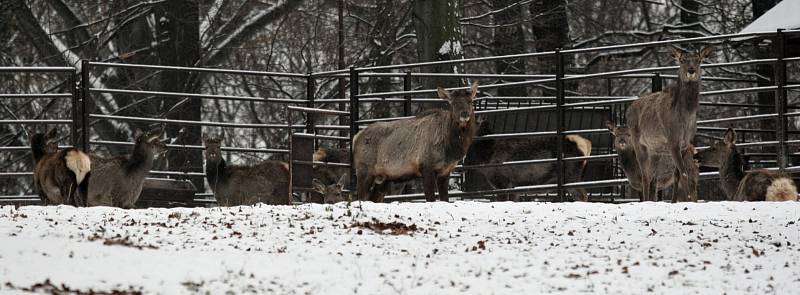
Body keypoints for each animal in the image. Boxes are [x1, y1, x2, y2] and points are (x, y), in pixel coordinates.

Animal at [624, 46, 712, 202]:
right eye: (682, 60)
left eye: (699, 60)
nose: (691, 70)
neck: (686, 118)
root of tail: (628, 109)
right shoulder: (673, 141)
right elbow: (684, 173)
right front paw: (688, 198)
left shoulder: (685, 144)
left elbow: (677, 175)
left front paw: (674, 201)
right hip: (638, 144)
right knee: (645, 176)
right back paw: (645, 200)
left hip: (655, 150)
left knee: (651, 177)